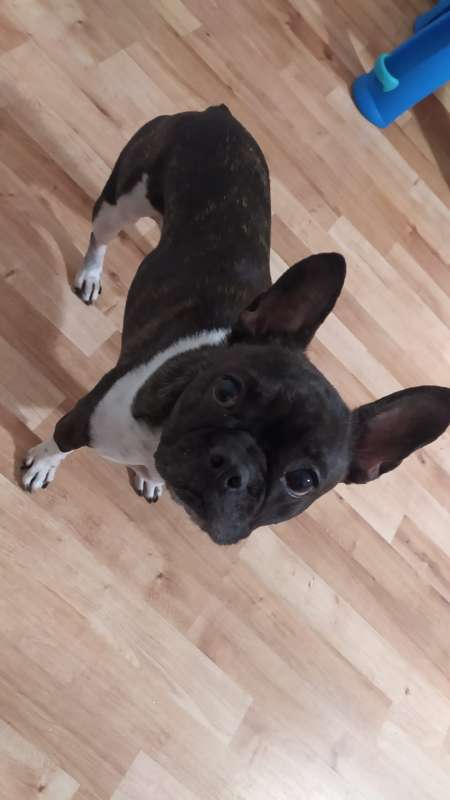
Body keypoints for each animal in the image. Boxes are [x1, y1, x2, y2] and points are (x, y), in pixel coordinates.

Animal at [21, 105, 450, 544]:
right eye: (226, 390)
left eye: (301, 481)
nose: (233, 463)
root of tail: (217, 114)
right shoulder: (84, 418)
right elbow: (59, 443)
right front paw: (42, 464)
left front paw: (148, 479)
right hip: (121, 202)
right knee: (100, 236)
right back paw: (90, 274)